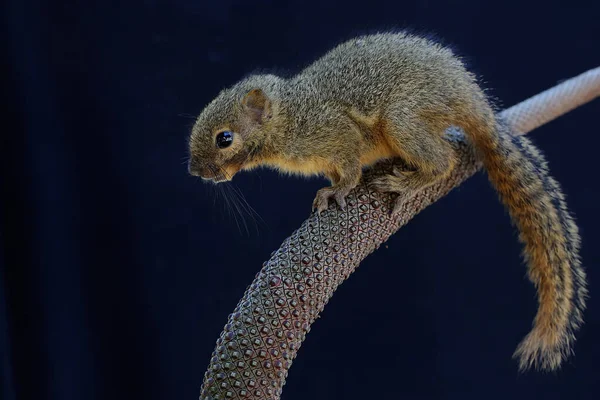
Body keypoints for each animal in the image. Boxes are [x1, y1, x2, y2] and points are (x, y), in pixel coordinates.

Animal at [188, 31, 584, 372]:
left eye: (224, 138)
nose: (195, 171)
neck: (290, 118)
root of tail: (470, 97)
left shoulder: (338, 135)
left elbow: (349, 171)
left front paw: (338, 191)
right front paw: (329, 188)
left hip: (401, 120)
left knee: (443, 160)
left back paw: (407, 182)